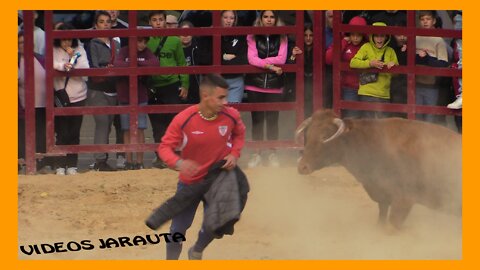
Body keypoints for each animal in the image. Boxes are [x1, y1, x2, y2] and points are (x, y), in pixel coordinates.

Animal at [294, 109, 464, 228]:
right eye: (308, 135)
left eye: (324, 136)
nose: (302, 167)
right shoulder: (383, 196)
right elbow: (382, 220)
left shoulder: (404, 199)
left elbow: (393, 224)